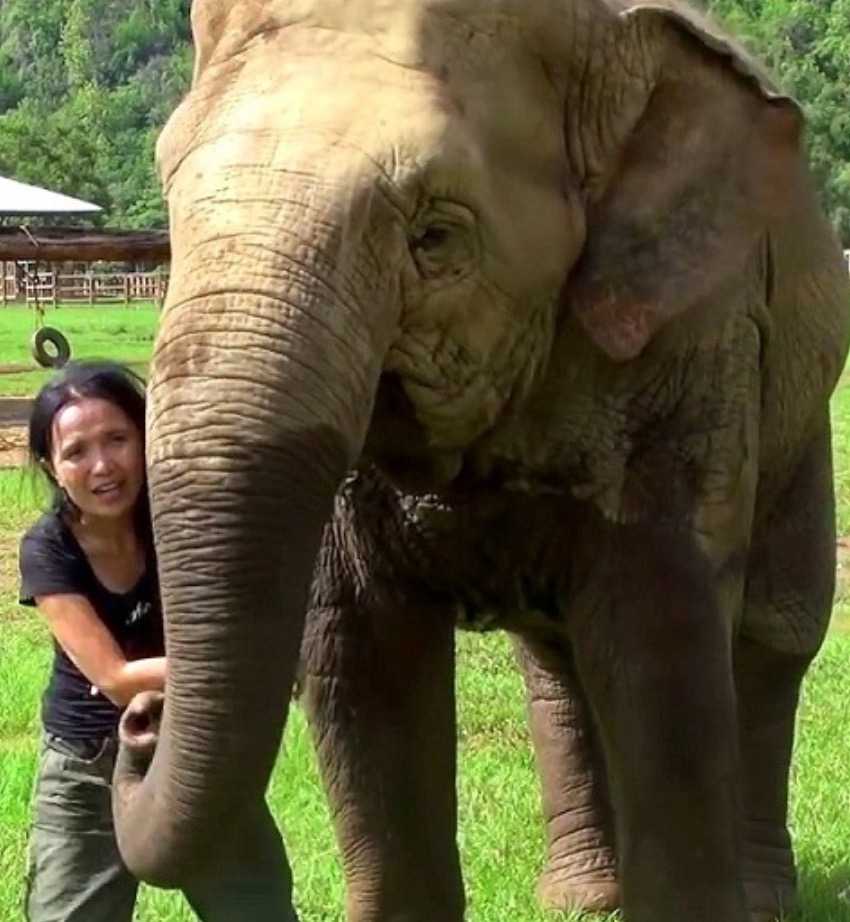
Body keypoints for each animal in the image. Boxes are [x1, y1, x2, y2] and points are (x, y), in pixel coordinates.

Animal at [111, 0, 848, 916]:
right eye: (171, 202)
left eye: (435, 237)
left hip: (801, 403)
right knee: (556, 658)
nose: (140, 715)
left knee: (778, 632)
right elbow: (359, 654)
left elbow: (662, 632)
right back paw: (581, 897)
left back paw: (764, 897)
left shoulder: (697, 339)